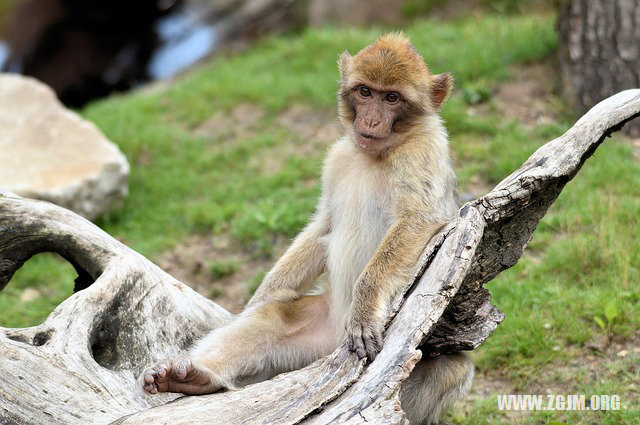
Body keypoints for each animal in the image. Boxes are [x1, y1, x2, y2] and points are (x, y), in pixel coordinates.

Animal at [141, 31, 470, 422]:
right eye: (365, 92)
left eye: (392, 97)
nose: (372, 121)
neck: (377, 154)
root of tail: (332, 347)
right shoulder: (337, 158)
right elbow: (323, 226)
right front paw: (260, 296)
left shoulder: (422, 153)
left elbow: (418, 220)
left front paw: (365, 308)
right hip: (316, 337)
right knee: (273, 319)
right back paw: (195, 377)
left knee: (449, 369)